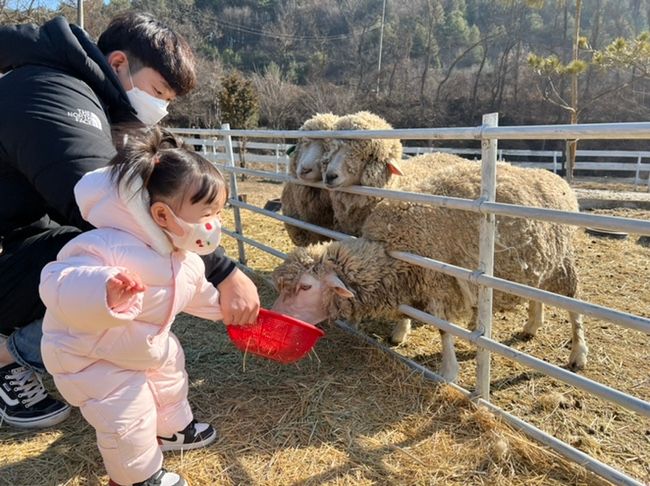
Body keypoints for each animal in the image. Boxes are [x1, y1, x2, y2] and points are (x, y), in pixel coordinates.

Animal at [270, 161, 584, 382]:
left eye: (306, 287)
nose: (273, 316)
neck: (391, 248)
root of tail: (556, 179)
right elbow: (406, 312)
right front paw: (399, 334)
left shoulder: (441, 285)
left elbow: (444, 331)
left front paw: (448, 371)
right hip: (540, 260)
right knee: (537, 294)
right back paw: (532, 325)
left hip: (564, 260)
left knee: (573, 305)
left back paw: (578, 354)